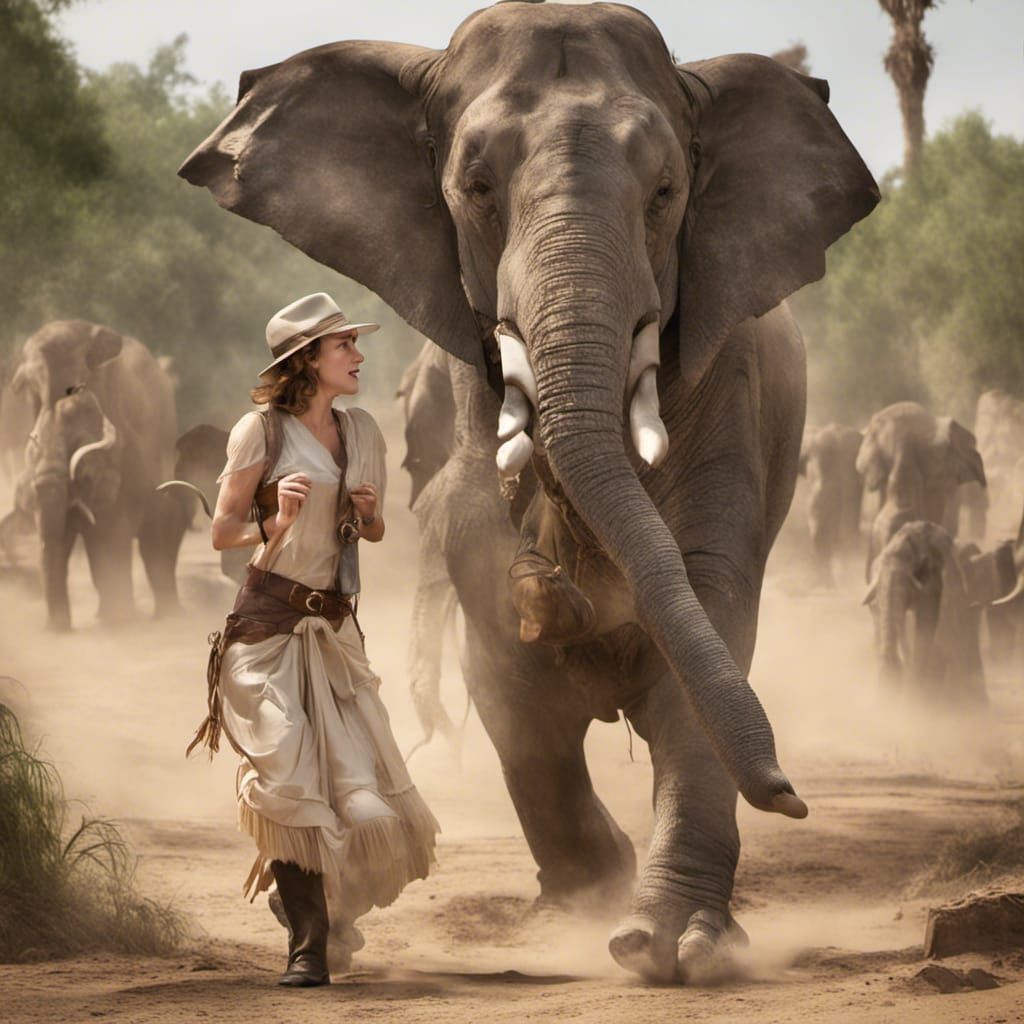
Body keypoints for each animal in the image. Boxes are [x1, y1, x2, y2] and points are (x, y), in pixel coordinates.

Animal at [3, 320, 181, 629]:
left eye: (85, 475)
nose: (54, 629)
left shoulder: (129, 454)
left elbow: (113, 528)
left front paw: (120, 621)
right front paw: (59, 629)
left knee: (152, 539)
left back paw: (166, 615)